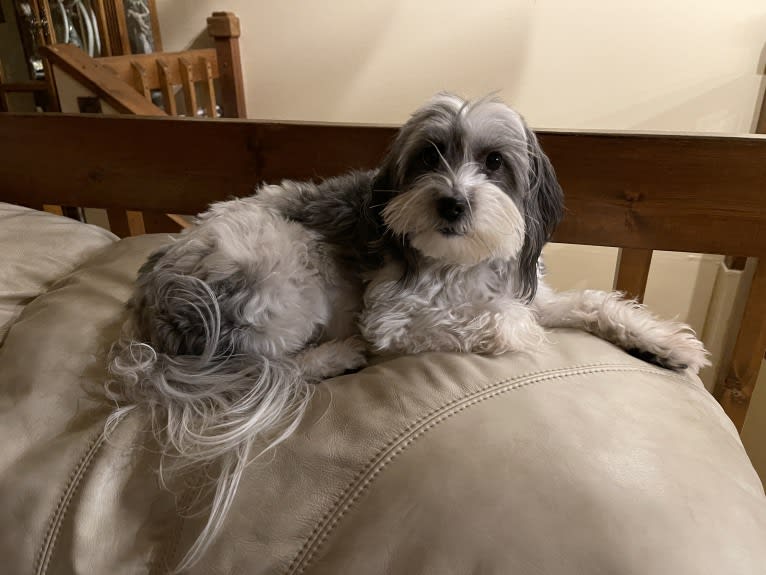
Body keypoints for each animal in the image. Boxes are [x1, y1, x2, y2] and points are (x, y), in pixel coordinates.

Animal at [106, 92, 708, 568]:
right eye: (429, 156)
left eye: (494, 162)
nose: (452, 202)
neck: (460, 263)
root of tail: (150, 300)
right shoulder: (395, 319)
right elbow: (504, 322)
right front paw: (522, 334)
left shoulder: (532, 293)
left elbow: (589, 302)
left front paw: (665, 343)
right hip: (286, 262)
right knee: (262, 361)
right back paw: (339, 355)